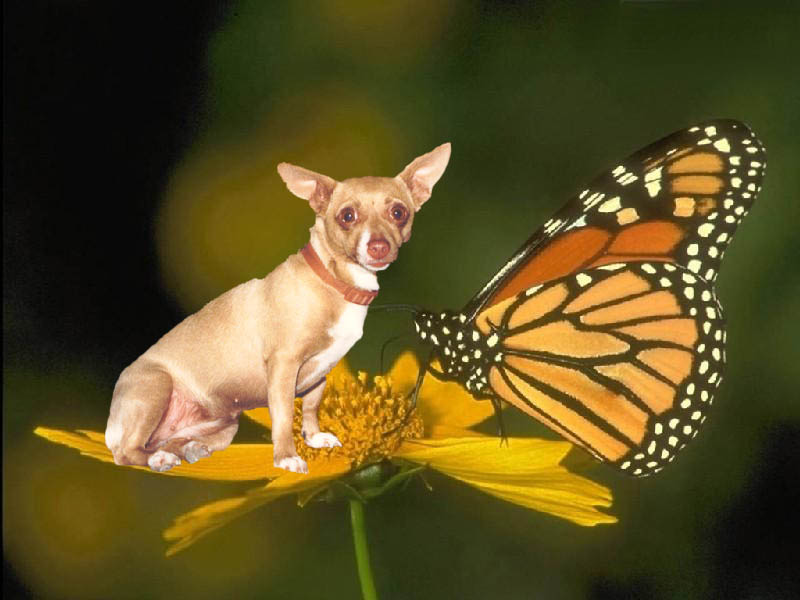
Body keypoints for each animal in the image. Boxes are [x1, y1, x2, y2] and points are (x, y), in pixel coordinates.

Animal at [104, 142, 450, 474]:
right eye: (347, 216)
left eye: (399, 212)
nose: (379, 246)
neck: (332, 282)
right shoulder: (284, 366)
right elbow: (283, 418)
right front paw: (287, 457)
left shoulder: (320, 373)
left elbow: (310, 407)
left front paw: (315, 437)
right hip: (156, 389)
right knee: (128, 452)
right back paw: (157, 458)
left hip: (223, 427)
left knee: (172, 442)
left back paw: (186, 449)